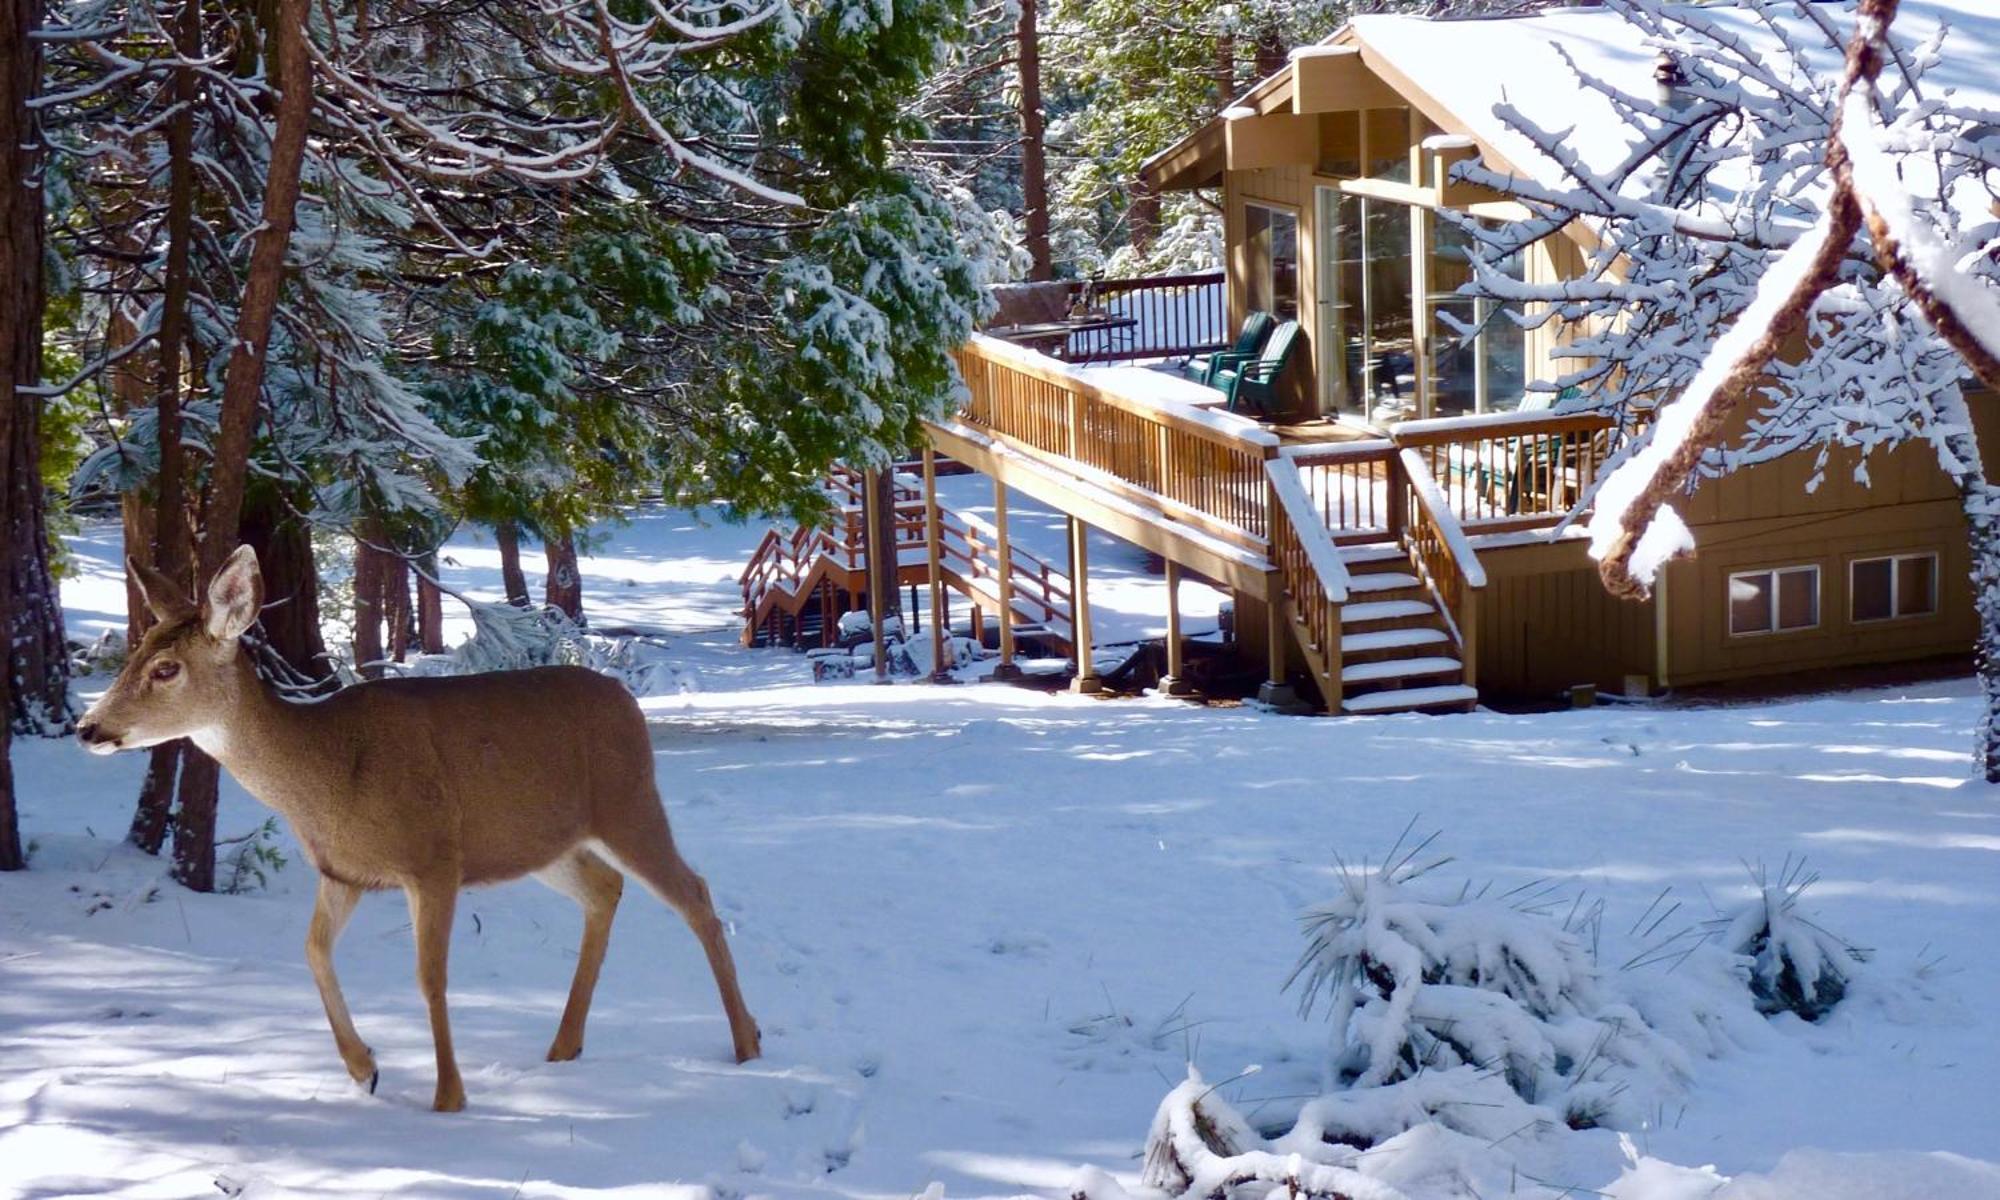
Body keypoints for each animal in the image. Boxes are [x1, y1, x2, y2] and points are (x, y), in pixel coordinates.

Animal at [76, 548, 756, 1112]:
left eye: (166, 669)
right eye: (134, 651)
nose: (88, 726)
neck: (326, 774)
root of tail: (628, 701)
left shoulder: (433, 858)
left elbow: (431, 977)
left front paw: (448, 1096)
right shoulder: (344, 872)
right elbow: (313, 950)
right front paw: (364, 1067)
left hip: (630, 802)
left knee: (693, 894)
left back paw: (746, 1041)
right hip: (543, 842)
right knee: (605, 889)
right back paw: (566, 1045)